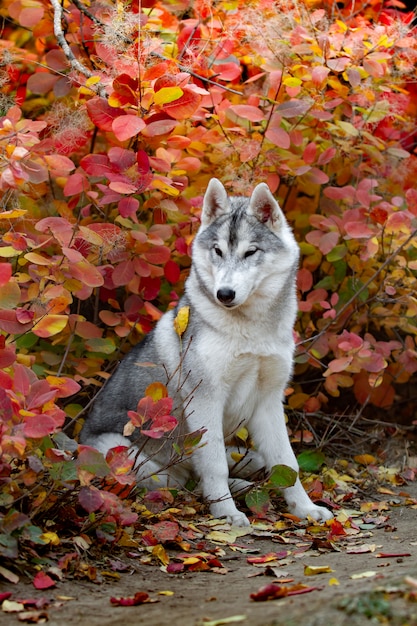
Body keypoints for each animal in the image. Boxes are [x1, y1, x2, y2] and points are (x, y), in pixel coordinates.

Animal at [80, 178, 332, 524]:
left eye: (250, 252)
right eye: (218, 251)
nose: (224, 293)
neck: (251, 330)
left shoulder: (268, 402)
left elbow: (287, 462)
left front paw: (304, 508)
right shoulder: (205, 400)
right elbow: (215, 466)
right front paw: (226, 513)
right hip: (126, 455)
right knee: (181, 480)